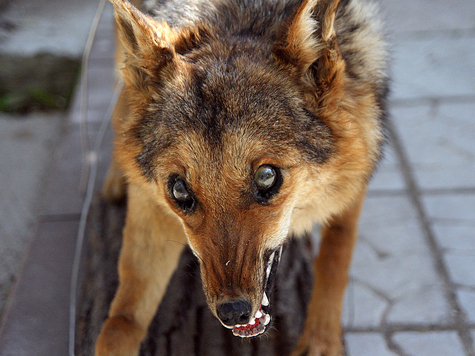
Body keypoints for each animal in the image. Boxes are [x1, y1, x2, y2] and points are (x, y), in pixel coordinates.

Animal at [96, 0, 390, 354]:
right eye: (179, 190)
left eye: (266, 177)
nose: (232, 313)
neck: (239, 15)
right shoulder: (151, 209)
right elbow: (119, 324)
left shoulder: (355, 176)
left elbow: (336, 257)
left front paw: (321, 341)